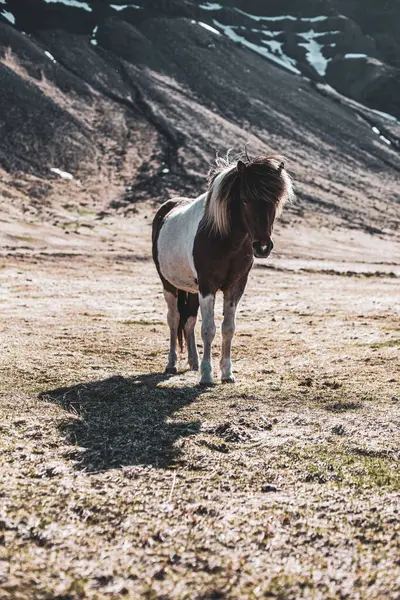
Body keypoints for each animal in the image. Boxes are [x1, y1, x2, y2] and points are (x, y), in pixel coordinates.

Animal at [152, 150, 294, 384]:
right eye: (245, 199)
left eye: (275, 201)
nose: (263, 247)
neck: (225, 239)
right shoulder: (208, 285)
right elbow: (208, 329)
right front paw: (207, 375)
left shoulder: (235, 286)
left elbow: (228, 328)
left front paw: (227, 373)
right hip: (169, 285)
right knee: (173, 320)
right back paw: (172, 364)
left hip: (192, 289)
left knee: (189, 321)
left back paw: (193, 362)